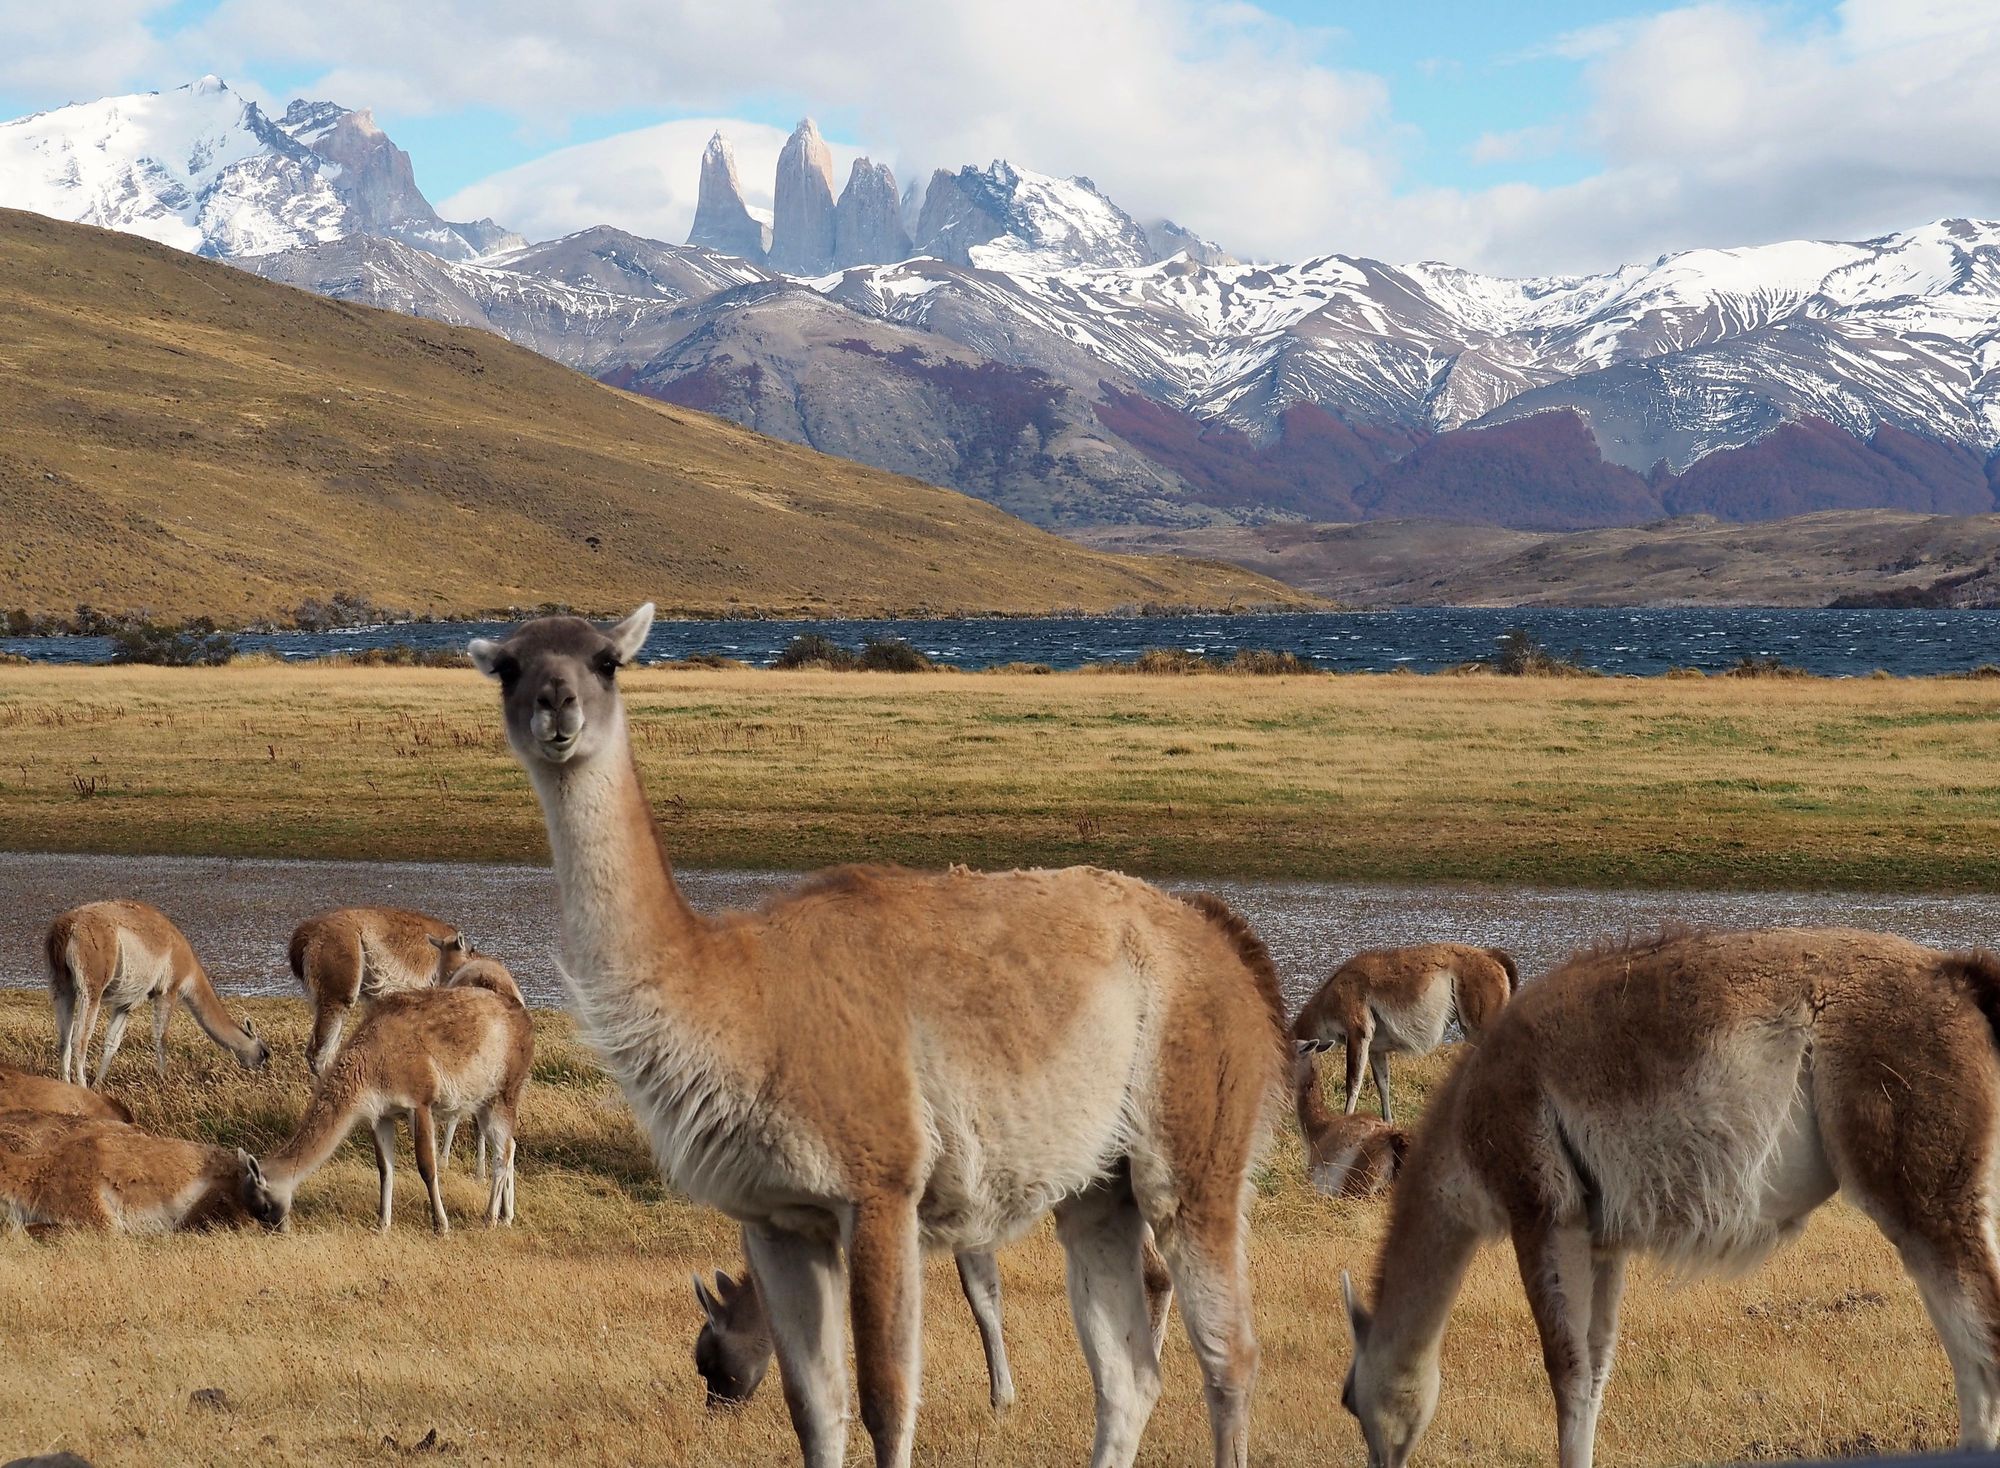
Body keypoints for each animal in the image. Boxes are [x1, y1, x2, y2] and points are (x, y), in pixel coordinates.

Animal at [46, 899, 271, 1087]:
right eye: (263, 1053)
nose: (262, 1073)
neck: (189, 967)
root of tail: (67, 927)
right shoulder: (168, 989)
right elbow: (161, 1038)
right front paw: (164, 1079)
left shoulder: (127, 1002)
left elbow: (112, 1043)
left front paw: (99, 1084)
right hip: (91, 985)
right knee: (79, 1040)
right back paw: (81, 1086)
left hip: (61, 986)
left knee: (63, 1041)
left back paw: (66, 1086)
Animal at [261, 979, 532, 1232]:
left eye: (262, 1202)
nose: (275, 1229)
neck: (374, 1061)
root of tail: (522, 1017)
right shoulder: (381, 1115)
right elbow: (385, 1170)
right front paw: (382, 1224)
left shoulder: (420, 1103)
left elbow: (427, 1167)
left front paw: (441, 1225)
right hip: (484, 1101)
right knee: (510, 1146)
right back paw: (506, 1216)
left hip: (505, 1091)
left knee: (503, 1153)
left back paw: (489, 1218)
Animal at [1292, 942, 1518, 1122]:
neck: (1327, 1002)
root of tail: (1492, 957)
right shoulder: (1376, 1047)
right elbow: (1383, 1083)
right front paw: (1388, 1121)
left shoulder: (1358, 1031)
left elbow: (1353, 1083)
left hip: (1480, 1022)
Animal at [1339, 927, 2000, 1468]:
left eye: (1347, 1399)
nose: (1378, 1464)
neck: (1463, 1133)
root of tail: (1959, 974)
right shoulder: (1600, 1236)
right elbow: (1596, 1368)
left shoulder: (1539, 1207)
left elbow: (1565, 1370)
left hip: (1920, 1174)